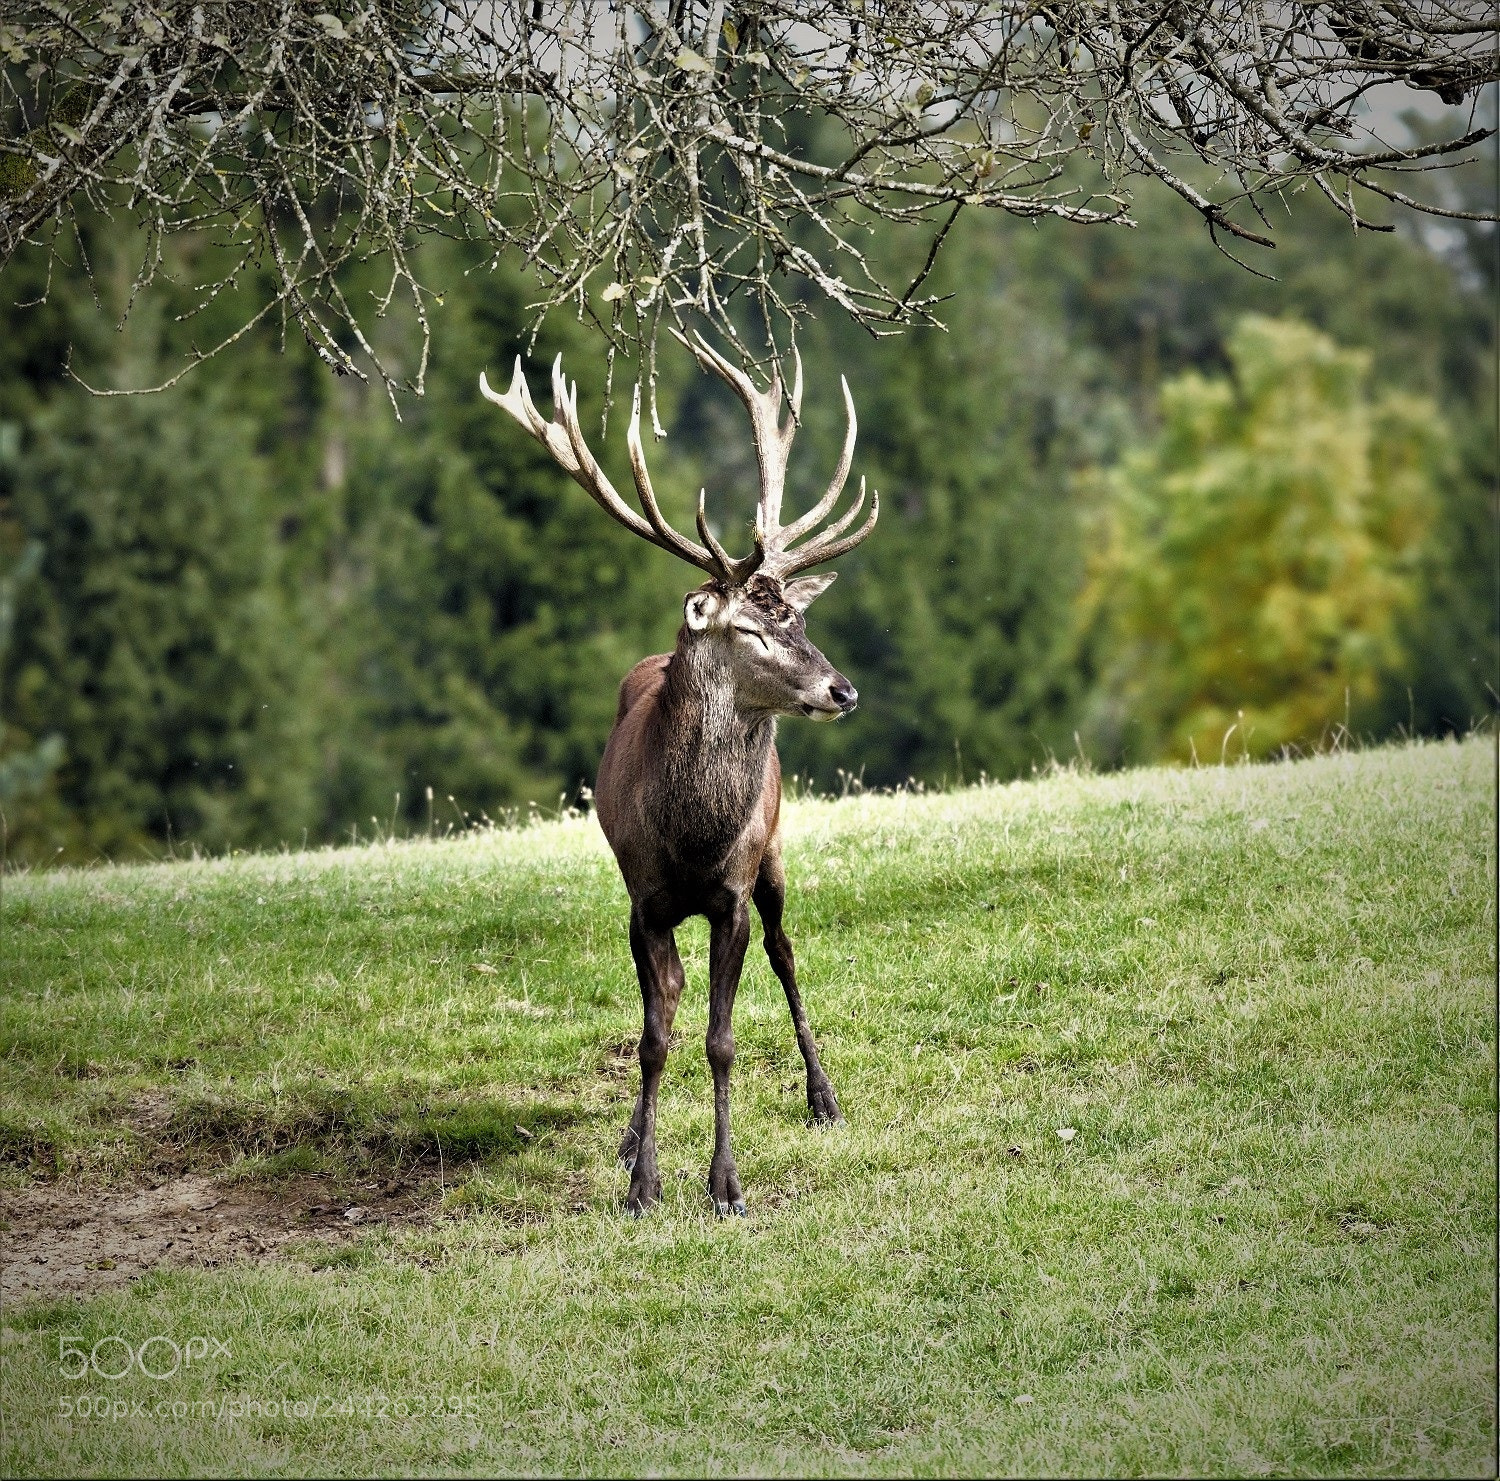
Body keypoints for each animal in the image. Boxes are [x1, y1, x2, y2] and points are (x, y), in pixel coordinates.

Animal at [479, 332, 878, 1216]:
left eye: (798, 616)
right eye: (755, 628)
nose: (843, 688)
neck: (693, 838)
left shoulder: (730, 891)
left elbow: (721, 1039)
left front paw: (726, 1185)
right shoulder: (644, 897)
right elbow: (655, 1034)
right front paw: (643, 1182)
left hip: (774, 857)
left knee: (786, 951)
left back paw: (825, 1097)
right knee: (668, 992)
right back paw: (633, 1139)